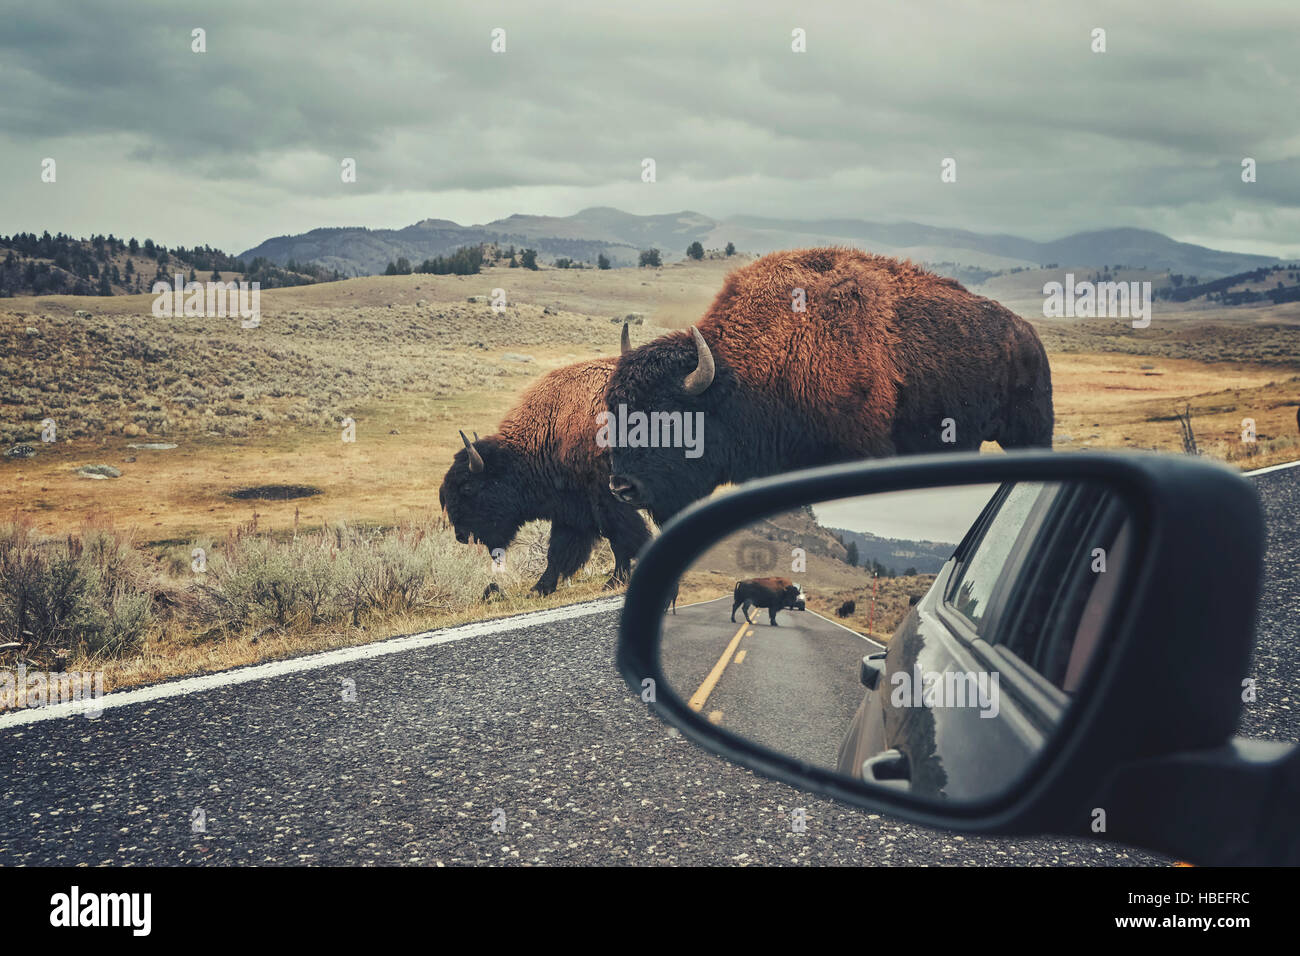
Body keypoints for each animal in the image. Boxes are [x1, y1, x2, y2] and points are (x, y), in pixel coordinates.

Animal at [441, 332, 655, 595]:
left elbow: (621, 536)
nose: (461, 535)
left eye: (468, 488)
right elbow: (560, 550)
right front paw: (540, 587)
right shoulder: (571, 507)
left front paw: (615, 580)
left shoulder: (605, 499)